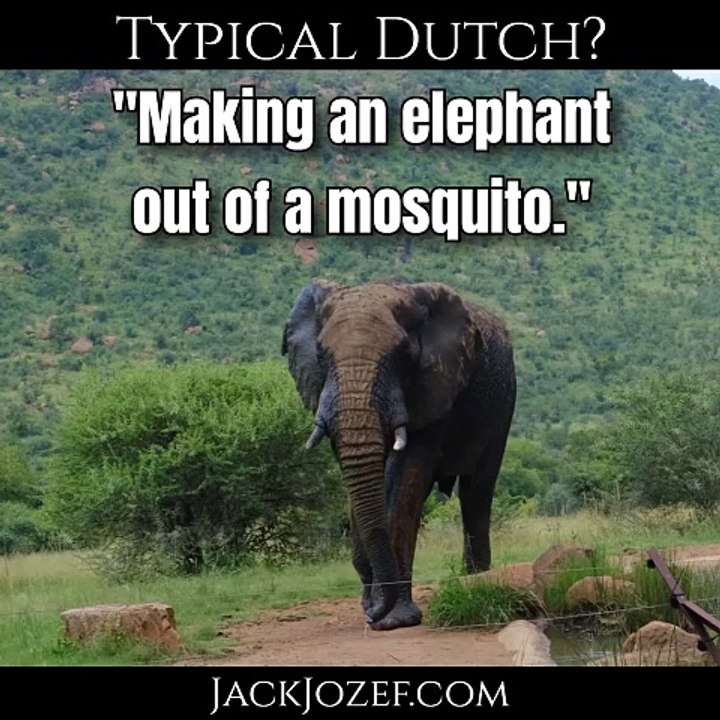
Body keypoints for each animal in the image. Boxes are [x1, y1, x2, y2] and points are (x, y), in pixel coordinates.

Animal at [281, 277, 516, 631]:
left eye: (404, 353)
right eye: (321, 354)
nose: (371, 614)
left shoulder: (434, 383)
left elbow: (406, 475)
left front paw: (394, 620)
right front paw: (374, 606)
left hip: (503, 406)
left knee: (476, 490)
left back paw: (474, 580)